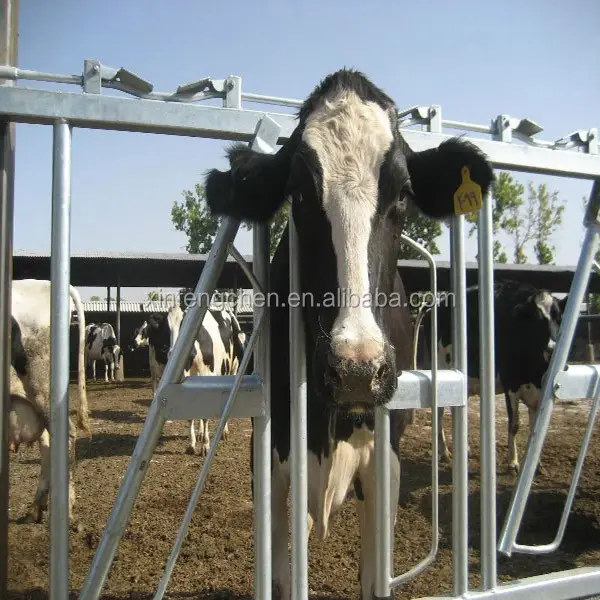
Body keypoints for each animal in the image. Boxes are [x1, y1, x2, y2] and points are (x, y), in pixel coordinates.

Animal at [204, 68, 494, 596]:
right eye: (299, 193)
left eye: (402, 193)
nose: (357, 369)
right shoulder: (268, 460)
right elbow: (280, 578)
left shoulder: (386, 467)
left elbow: (373, 579)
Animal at [422, 282, 568, 474]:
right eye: (537, 320)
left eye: (559, 318)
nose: (552, 348)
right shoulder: (510, 385)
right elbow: (514, 425)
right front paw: (513, 462)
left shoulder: (540, 392)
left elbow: (535, 429)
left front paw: (536, 465)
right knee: (439, 412)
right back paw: (444, 451)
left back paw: (464, 449)